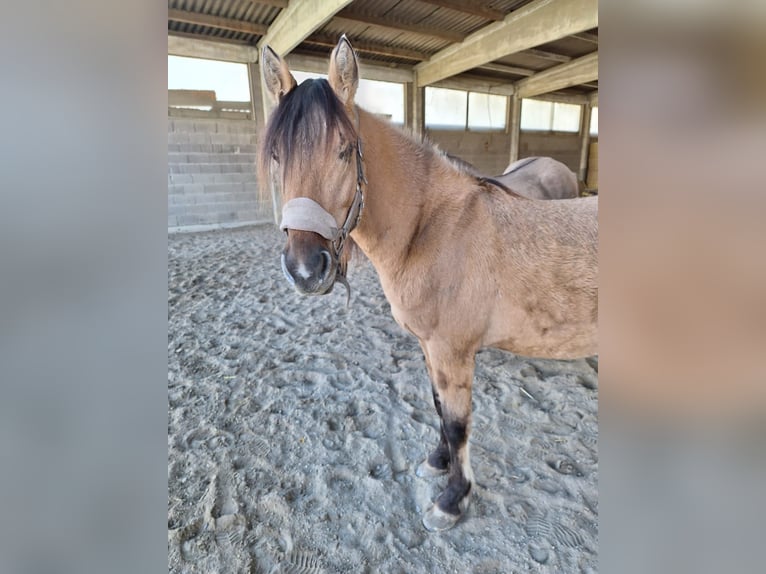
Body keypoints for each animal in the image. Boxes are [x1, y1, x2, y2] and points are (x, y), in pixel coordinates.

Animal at [258, 36, 598, 532]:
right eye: (277, 155)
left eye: (344, 149)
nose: (305, 269)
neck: (434, 228)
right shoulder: (429, 346)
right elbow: (438, 407)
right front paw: (438, 462)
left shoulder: (451, 350)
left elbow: (458, 423)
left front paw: (452, 499)